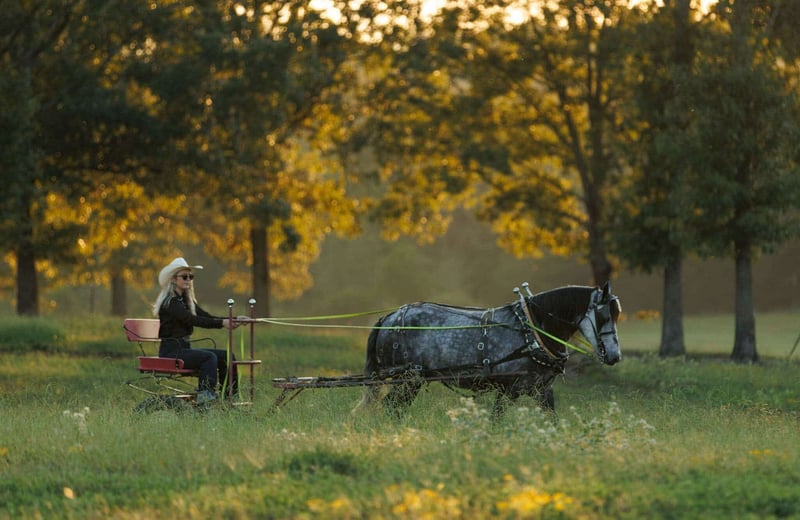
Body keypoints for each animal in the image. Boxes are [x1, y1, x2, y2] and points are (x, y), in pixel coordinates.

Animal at [354, 282, 622, 417]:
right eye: (603, 315)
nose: (615, 356)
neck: (533, 330)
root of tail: (389, 317)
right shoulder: (509, 388)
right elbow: (496, 420)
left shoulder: (542, 389)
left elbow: (552, 420)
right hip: (408, 379)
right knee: (392, 407)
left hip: (412, 380)